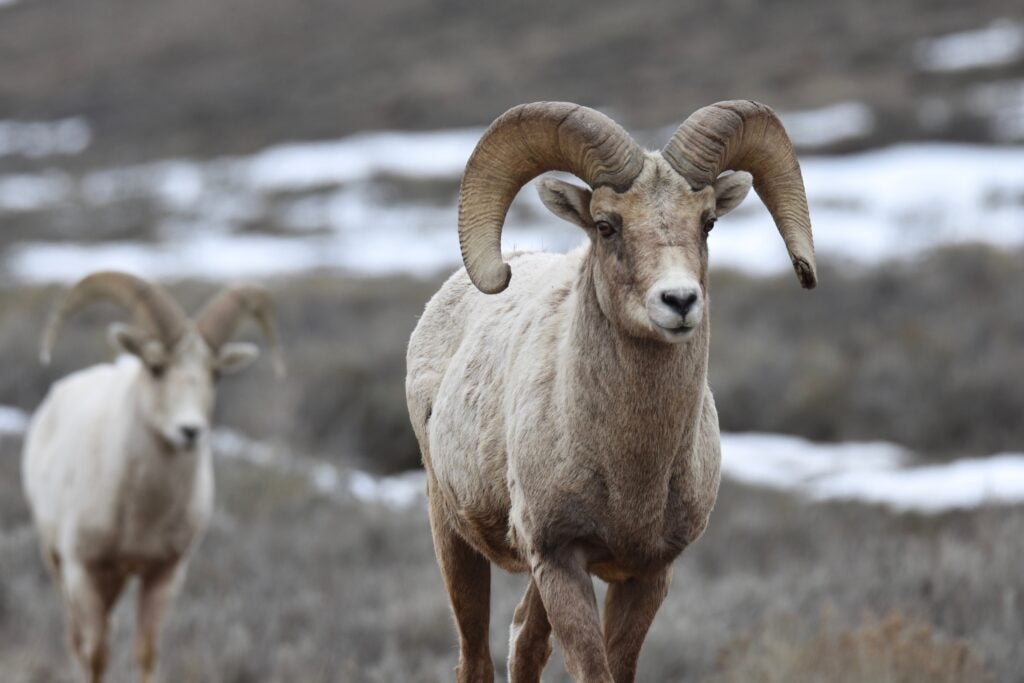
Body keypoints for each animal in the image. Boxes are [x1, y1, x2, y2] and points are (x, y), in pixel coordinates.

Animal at [20, 272, 284, 683]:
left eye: (216, 374)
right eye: (157, 366)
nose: (190, 431)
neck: (141, 515)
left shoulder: (163, 574)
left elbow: (146, 652)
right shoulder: (83, 571)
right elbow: (96, 654)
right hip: (57, 562)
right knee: (78, 641)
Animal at [407, 101, 815, 683]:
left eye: (708, 222)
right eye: (606, 225)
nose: (679, 301)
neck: (630, 472)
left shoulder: (647, 573)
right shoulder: (561, 560)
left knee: (523, 642)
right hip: (452, 532)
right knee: (476, 656)